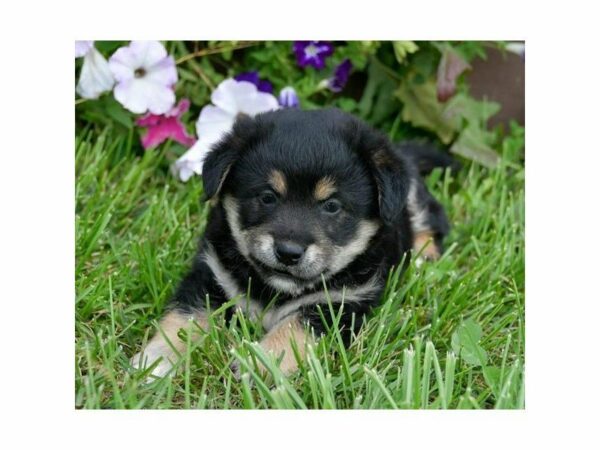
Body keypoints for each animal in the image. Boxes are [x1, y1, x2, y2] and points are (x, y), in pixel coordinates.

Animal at [131, 108, 450, 376]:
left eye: (332, 206)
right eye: (267, 197)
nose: (288, 253)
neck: (276, 290)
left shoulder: (339, 305)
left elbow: (293, 332)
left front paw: (258, 366)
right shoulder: (210, 276)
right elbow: (183, 318)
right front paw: (156, 359)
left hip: (413, 197)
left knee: (432, 221)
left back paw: (425, 260)